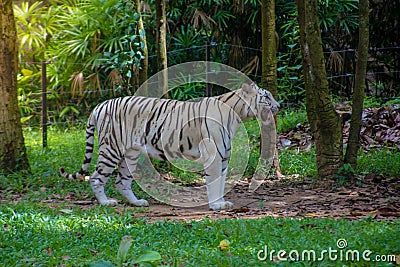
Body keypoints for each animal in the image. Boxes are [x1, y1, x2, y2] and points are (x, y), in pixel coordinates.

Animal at [60, 82, 278, 210]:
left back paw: (137, 202)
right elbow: (214, 181)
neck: (237, 115)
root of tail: (100, 105)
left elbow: (221, 182)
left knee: (122, 181)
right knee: (96, 177)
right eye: (267, 97)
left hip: (130, 153)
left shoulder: (223, 157)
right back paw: (106, 202)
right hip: (111, 149)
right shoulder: (214, 156)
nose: (279, 105)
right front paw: (216, 205)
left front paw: (222, 202)